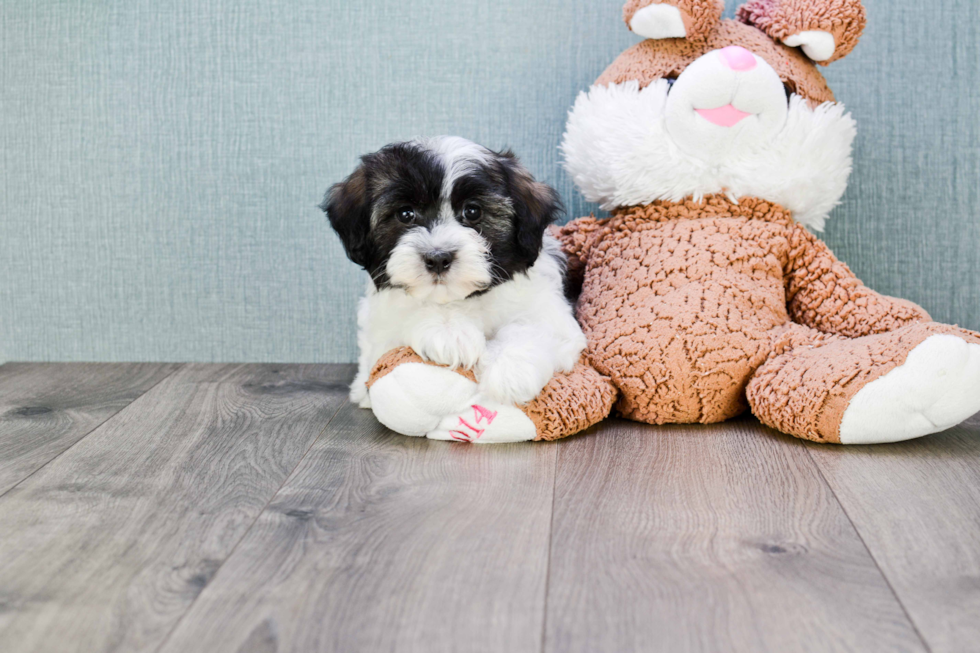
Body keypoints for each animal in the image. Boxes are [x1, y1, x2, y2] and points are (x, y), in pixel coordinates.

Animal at [322, 135, 584, 416]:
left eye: (473, 212)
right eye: (405, 214)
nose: (438, 258)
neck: (463, 299)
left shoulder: (550, 312)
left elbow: (534, 327)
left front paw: (510, 370)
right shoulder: (382, 315)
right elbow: (409, 307)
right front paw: (448, 331)